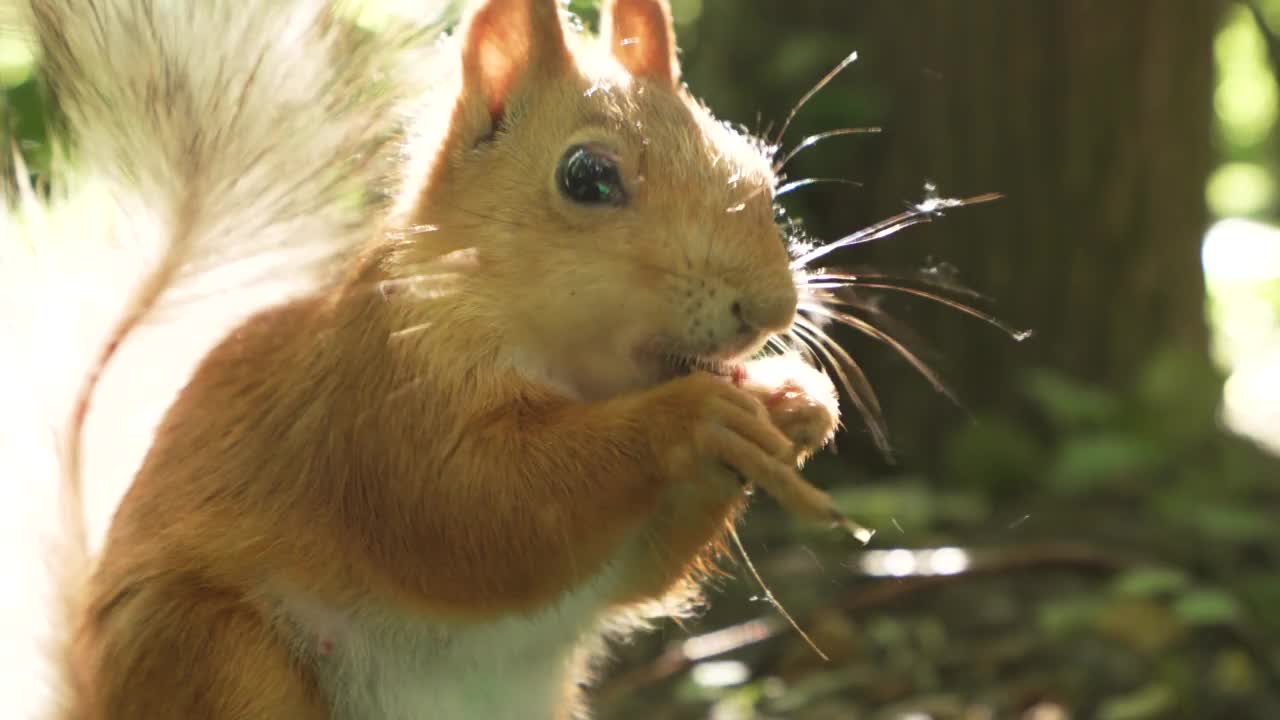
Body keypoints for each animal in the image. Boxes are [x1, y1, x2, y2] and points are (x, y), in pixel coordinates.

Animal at [12, 0, 870, 712]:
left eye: (757, 170)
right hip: (215, 651)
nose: (770, 309)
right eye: (588, 177)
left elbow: (636, 573)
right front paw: (695, 416)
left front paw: (796, 400)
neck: (578, 377)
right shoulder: (381, 392)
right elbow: (473, 509)